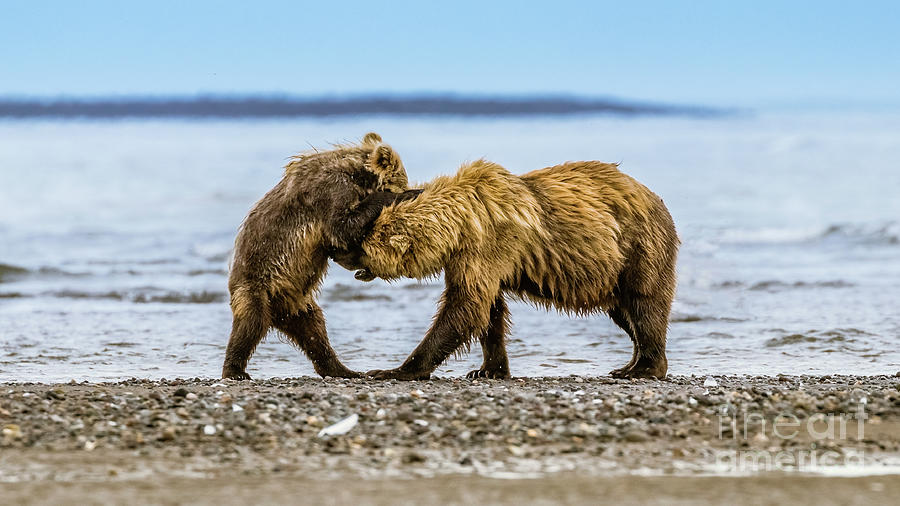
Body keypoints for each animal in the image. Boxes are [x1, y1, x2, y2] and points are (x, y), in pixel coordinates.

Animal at [225, 133, 422, 380]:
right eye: (403, 180)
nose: (409, 186)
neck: (357, 175)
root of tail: (277, 313)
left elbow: (342, 240)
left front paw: (364, 268)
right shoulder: (330, 191)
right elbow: (342, 226)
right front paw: (406, 194)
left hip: (296, 301)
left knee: (314, 331)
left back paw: (343, 369)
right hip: (256, 284)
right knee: (251, 323)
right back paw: (234, 370)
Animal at [336, 159, 676, 380]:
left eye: (361, 240)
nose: (338, 252)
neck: (459, 223)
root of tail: (655, 198)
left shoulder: (489, 243)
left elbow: (465, 306)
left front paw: (393, 370)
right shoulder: (471, 257)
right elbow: (489, 310)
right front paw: (487, 370)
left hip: (638, 247)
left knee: (644, 304)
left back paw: (645, 368)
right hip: (614, 272)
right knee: (623, 312)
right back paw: (629, 365)